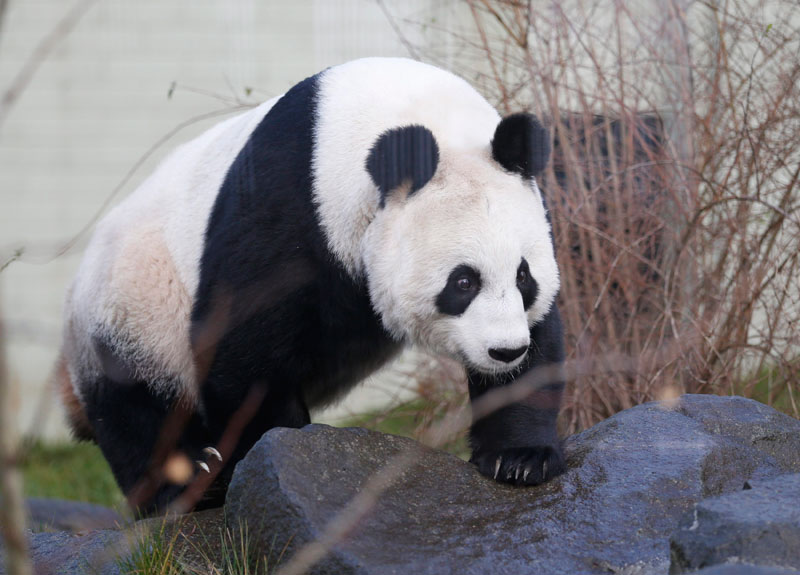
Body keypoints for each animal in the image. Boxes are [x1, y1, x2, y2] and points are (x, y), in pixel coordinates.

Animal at [56, 57, 564, 512]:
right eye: (463, 282)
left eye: (523, 275)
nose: (505, 352)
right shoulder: (290, 205)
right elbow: (243, 352)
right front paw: (279, 455)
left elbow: (540, 340)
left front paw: (518, 458)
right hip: (133, 304)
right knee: (134, 405)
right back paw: (188, 482)